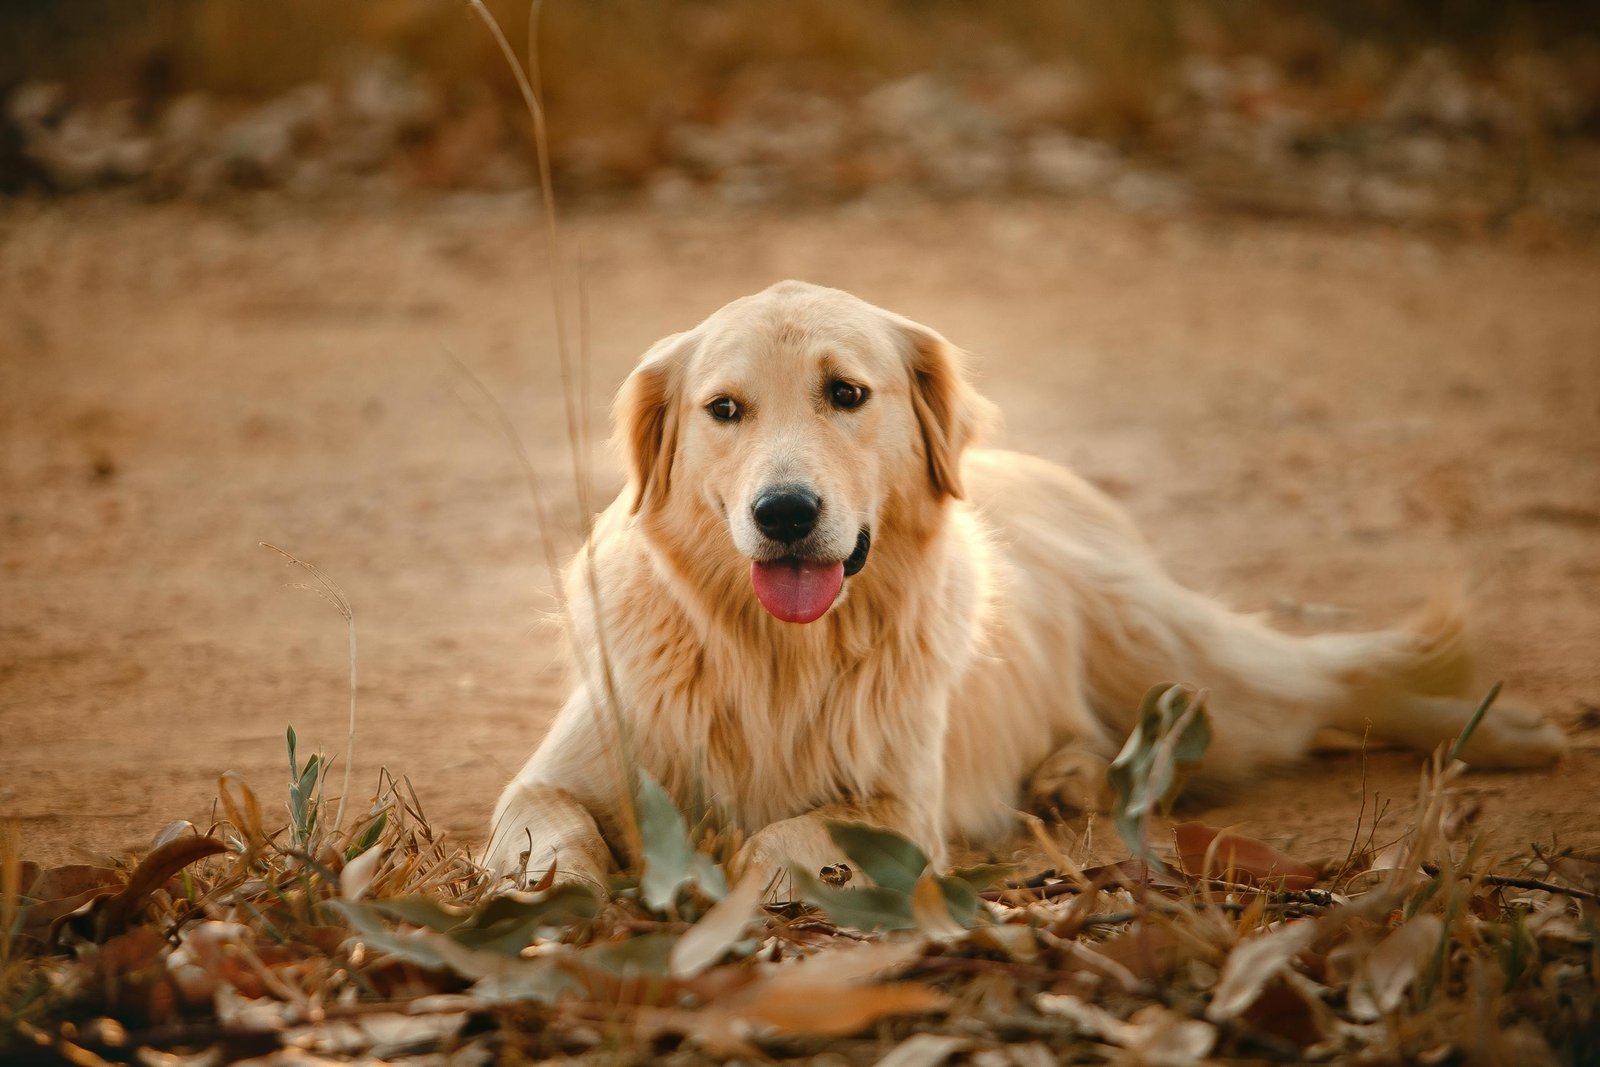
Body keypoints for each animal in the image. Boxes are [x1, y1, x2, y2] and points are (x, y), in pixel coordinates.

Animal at [486, 279, 1561, 889]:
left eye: (847, 393)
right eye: (724, 409)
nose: (784, 512)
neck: (773, 652)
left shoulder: (902, 807)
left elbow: (783, 835)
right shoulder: (569, 762)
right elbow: (540, 825)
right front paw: (549, 889)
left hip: (1184, 661)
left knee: (1325, 677)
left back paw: (1509, 729)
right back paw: (1069, 775)